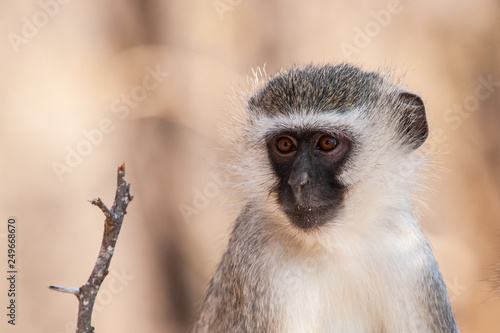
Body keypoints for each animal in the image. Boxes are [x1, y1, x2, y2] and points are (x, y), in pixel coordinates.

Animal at [193, 64, 458, 332]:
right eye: (285, 144)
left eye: (327, 142)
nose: (297, 182)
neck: (335, 243)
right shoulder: (256, 257)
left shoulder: (411, 259)